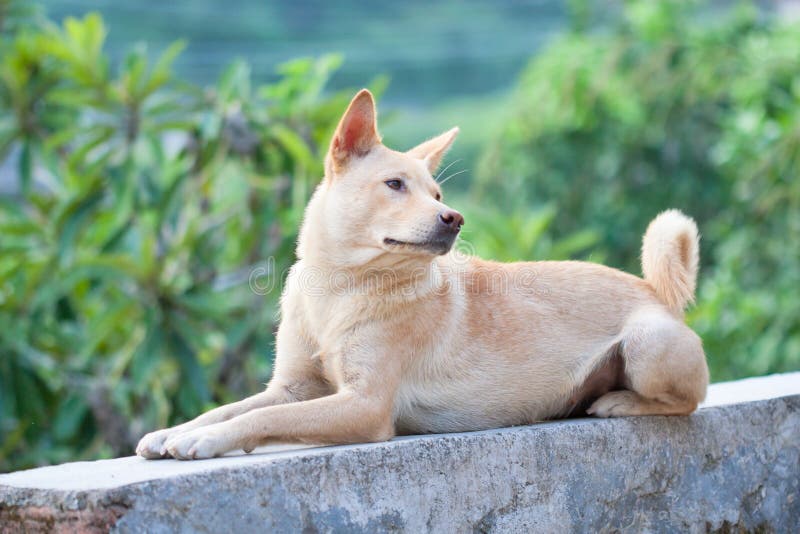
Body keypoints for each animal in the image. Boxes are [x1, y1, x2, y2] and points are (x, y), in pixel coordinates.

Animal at [136, 90, 708, 462]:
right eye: (395, 185)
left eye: (436, 194)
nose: (453, 217)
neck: (340, 289)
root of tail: (654, 290)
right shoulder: (293, 388)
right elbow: (232, 408)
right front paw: (175, 430)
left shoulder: (364, 406)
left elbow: (261, 419)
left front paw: (204, 441)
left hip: (647, 346)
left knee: (687, 401)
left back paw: (619, 401)